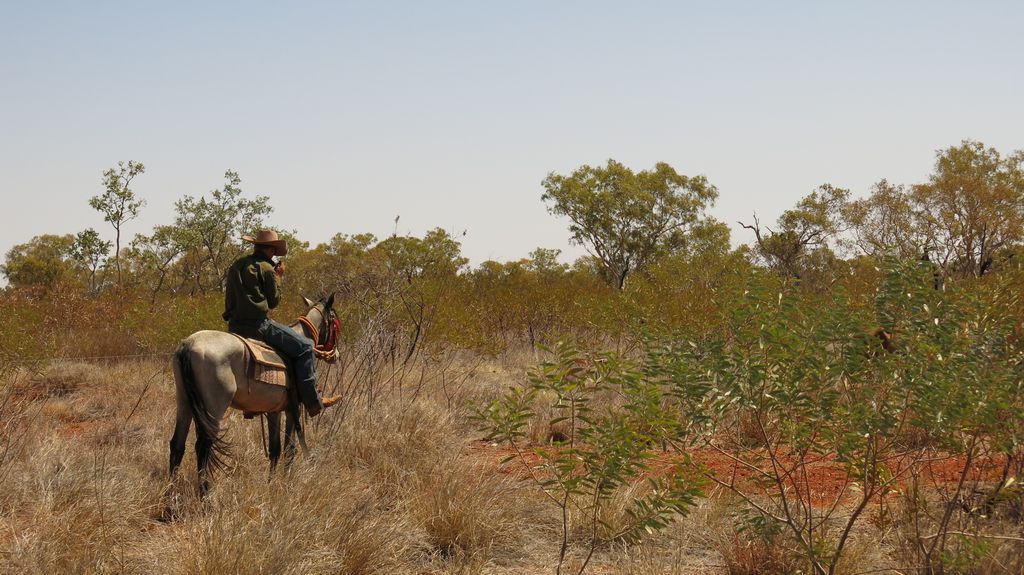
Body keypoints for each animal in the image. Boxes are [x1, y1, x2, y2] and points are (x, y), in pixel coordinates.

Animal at [167, 292, 339, 491]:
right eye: (334, 320)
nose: (336, 355)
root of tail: (188, 345)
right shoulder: (292, 409)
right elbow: (290, 449)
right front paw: (286, 483)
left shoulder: (274, 411)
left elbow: (275, 449)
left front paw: (270, 484)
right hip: (214, 408)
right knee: (203, 446)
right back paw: (205, 494)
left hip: (184, 402)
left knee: (177, 445)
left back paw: (170, 493)